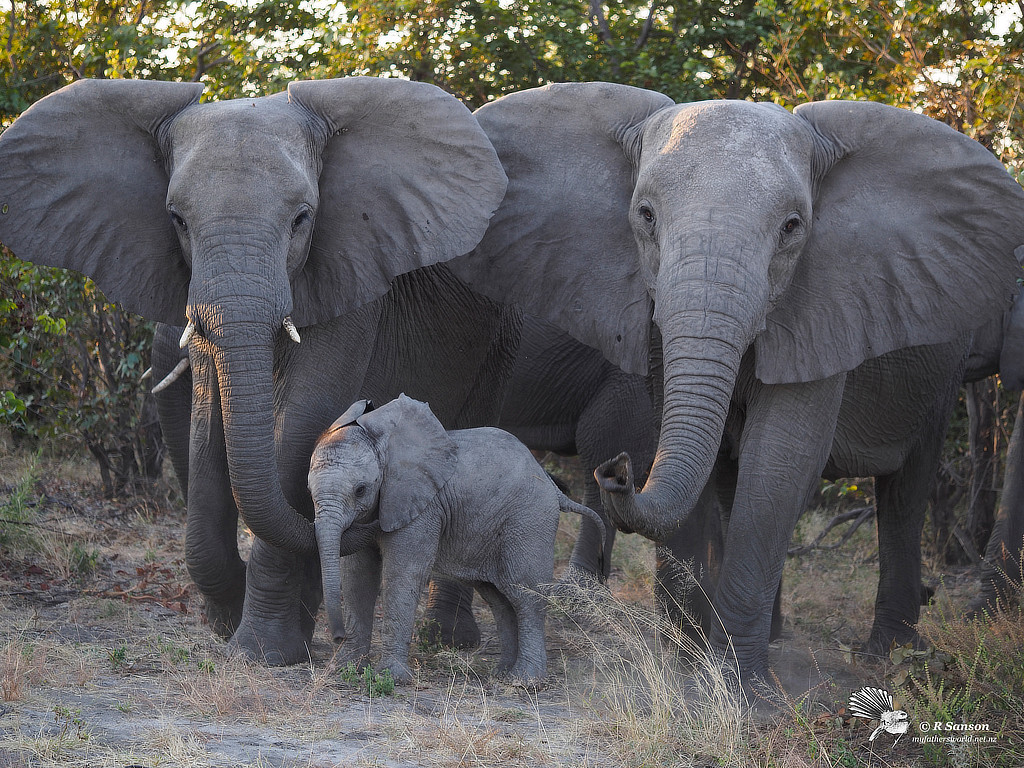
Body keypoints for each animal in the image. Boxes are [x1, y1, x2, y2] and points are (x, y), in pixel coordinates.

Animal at [0, 79, 516, 667]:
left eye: (302, 219)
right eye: (177, 220)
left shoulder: (352, 272)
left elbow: (303, 421)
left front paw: (261, 652)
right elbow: (209, 426)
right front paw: (228, 621)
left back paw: (444, 639)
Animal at [307, 397, 602, 684]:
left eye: (360, 490)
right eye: (309, 490)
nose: (337, 636)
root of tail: (552, 486)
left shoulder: (424, 508)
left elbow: (403, 574)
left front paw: (391, 678)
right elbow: (357, 576)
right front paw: (342, 670)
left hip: (530, 521)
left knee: (524, 594)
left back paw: (525, 681)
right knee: (500, 600)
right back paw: (502, 674)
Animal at [454, 83, 1024, 684]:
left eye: (793, 227)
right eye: (645, 215)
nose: (619, 473)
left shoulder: (825, 306)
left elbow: (781, 457)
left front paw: (742, 687)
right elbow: (687, 443)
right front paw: (692, 660)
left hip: (939, 372)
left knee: (904, 493)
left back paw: (882, 656)